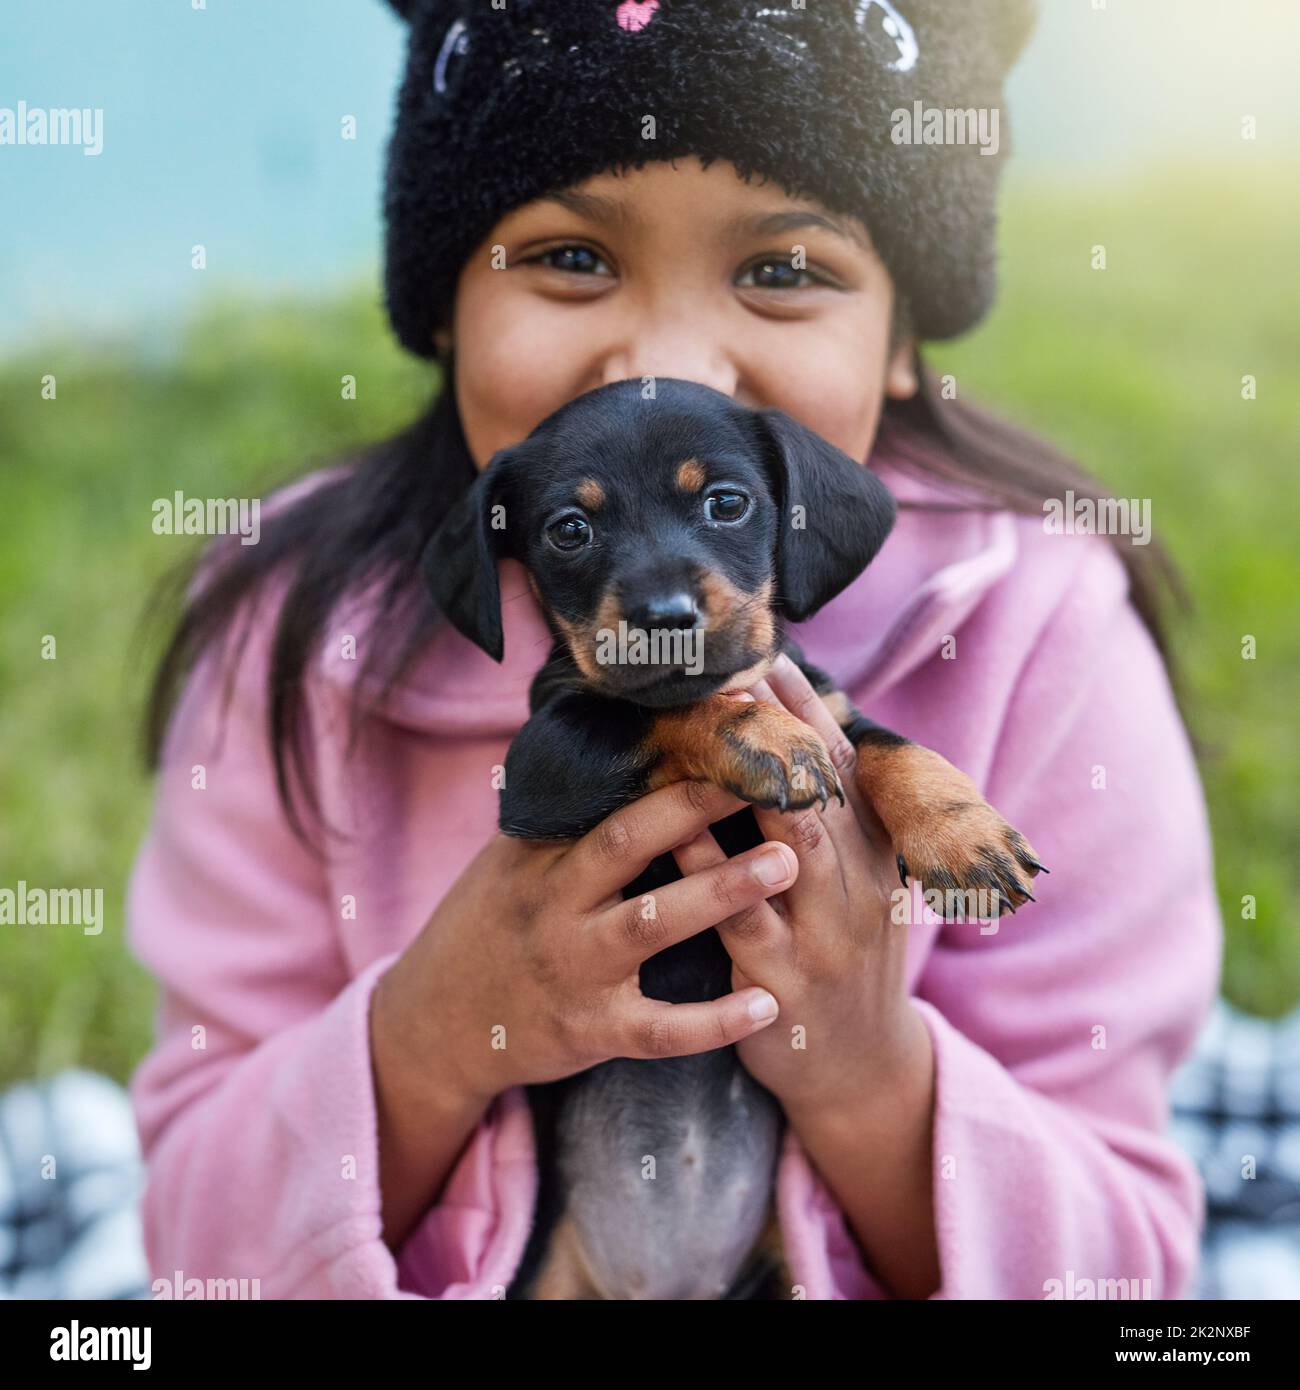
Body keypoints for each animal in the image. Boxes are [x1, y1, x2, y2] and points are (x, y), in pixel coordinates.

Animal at [422, 375, 1040, 1295]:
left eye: (726, 503)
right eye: (569, 530)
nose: (664, 618)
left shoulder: (836, 708)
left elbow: (888, 747)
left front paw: (963, 836)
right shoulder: (542, 765)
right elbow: (669, 709)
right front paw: (762, 735)